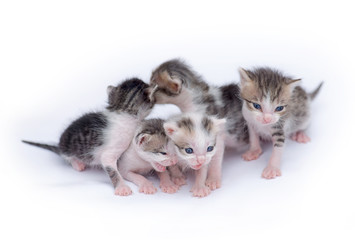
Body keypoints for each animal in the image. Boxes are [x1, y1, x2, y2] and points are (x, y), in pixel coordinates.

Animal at [22, 78, 156, 196]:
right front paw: (122, 187)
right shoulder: (111, 152)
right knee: (68, 157)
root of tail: (60, 146)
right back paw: (77, 164)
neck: (122, 109)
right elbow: (113, 171)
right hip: (70, 151)